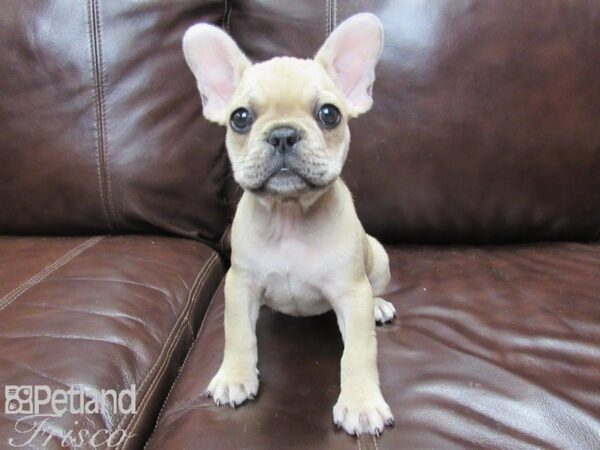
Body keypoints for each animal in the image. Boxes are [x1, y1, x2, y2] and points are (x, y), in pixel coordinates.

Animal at [183, 14, 396, 436]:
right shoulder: (240, 284)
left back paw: (380, 305)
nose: (283, 134)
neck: (289, 218)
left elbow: (359, 351)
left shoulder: (353, 294)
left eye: (329, 114)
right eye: (240, 118)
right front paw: (235, 376)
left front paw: (361, 403)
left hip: (377, 258)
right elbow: (237, 334)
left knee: (376, 290)